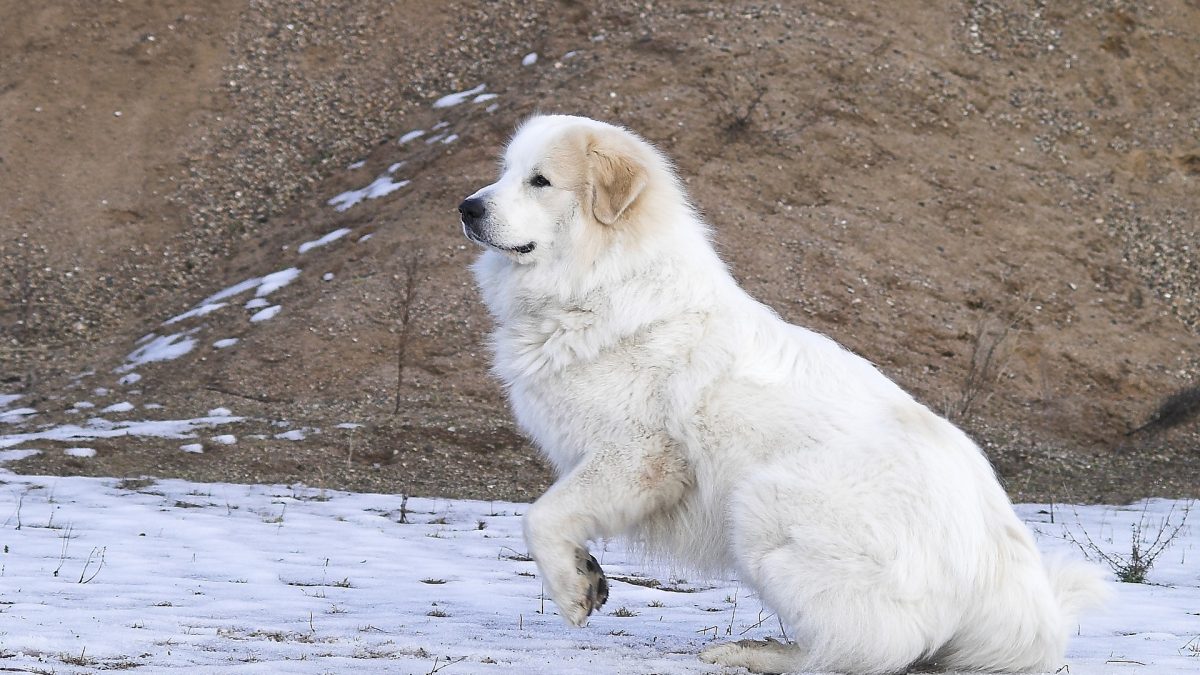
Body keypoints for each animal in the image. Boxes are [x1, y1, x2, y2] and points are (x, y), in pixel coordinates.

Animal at [458, 112, 1104, 667]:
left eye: (540, 181)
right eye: (505, 171)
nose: (466, 206)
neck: (604, 282)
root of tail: (1004, 575)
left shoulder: (638, 457)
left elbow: (540, 516)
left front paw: (571, 591)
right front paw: (587, 573)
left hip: (759, 506)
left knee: (867, 650)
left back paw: (755, 653)